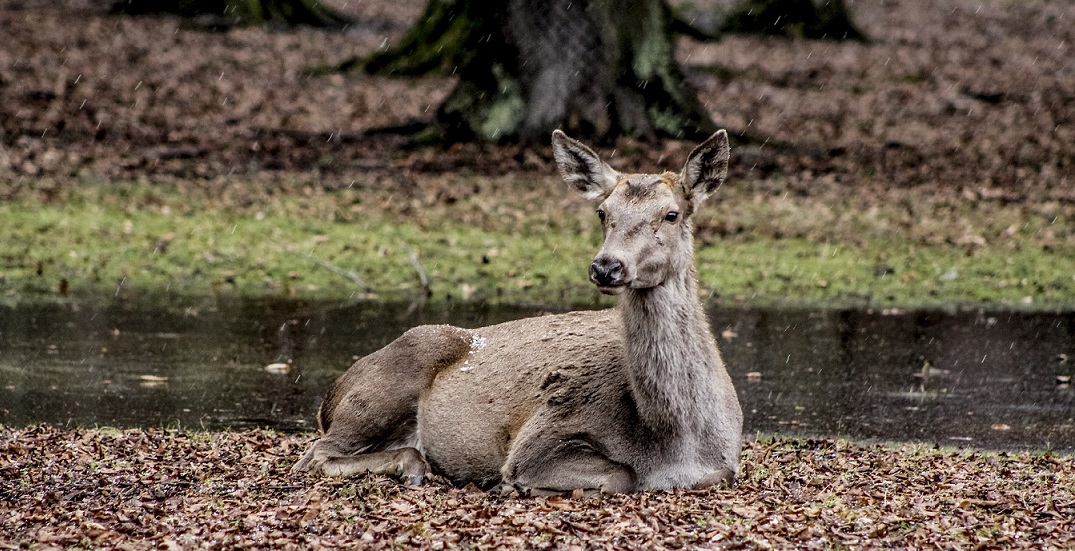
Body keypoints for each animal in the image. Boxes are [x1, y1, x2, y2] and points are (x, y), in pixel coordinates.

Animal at [294, 128, 748, 494]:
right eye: (603, 212)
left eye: (671, 214)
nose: (606, 266)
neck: (674, 440)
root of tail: (329, 398)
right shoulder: (541, 438)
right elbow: (621, 475)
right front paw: (512, 486)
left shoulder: (725, 463)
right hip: (384, 386)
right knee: (314, 454)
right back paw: (415, 466)